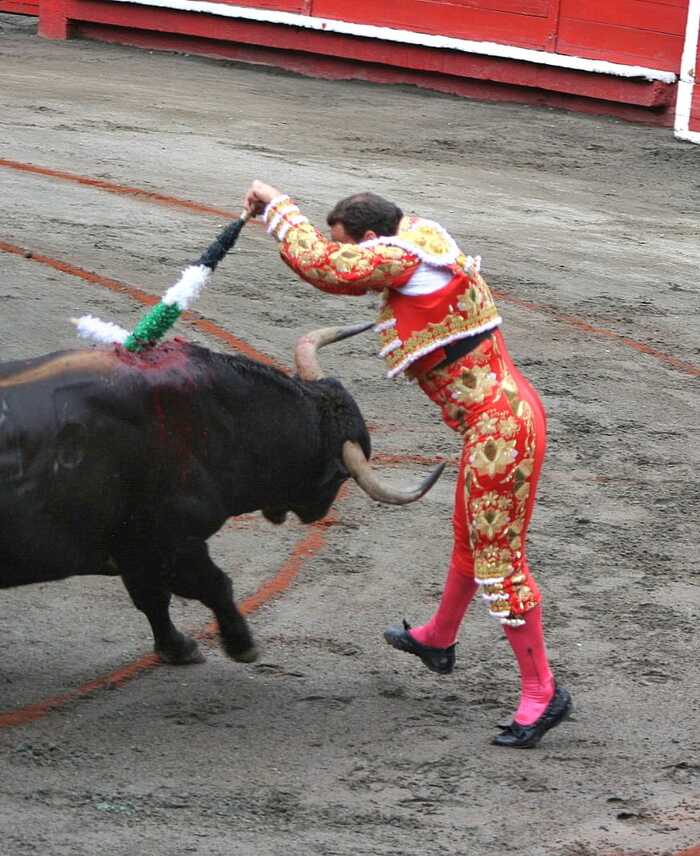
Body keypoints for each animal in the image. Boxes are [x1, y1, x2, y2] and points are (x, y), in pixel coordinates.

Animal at [0, 323, 443, 666]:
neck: (217, 420)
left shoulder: (137, 552)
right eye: (338, 479)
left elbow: (152, 599)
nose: (319, 511)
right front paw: (240, 644)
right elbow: (214, 586)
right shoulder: (171, 544)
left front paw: (177, 648)